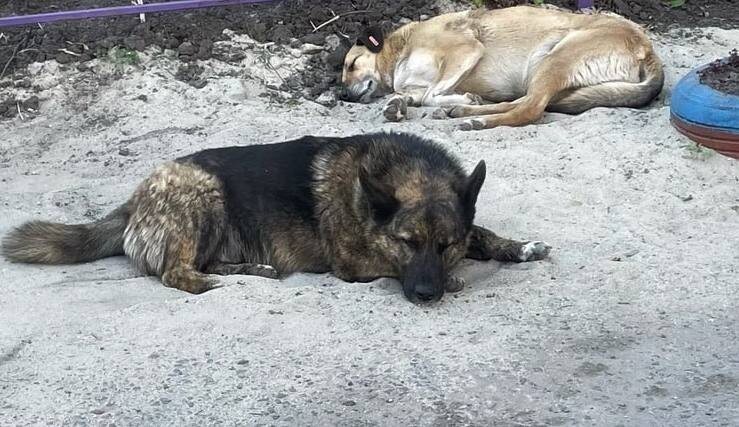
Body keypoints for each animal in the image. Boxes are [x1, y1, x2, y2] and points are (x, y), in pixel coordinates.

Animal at [1, 132, 551, 303]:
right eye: (406, 242)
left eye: (445, 243)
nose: (426, 294)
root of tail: (133, 202)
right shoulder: (354, 264)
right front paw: (457, 278)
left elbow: (482, 232)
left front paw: (517, 247)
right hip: (202, 192)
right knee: (176, 273)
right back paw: (215, 283)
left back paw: (252, 270)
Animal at [341, 6, 664, 130]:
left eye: (352, 64)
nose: (342, 96)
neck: (400, 50)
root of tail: (647, 49)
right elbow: (412, 94)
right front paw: (397, 105)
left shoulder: (466, 50)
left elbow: (430, 93)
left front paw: (459, 98)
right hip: (546, 70)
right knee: (524, 102)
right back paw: (464, 111)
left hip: (555, 58)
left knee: (530, 108)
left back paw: (475, 118)